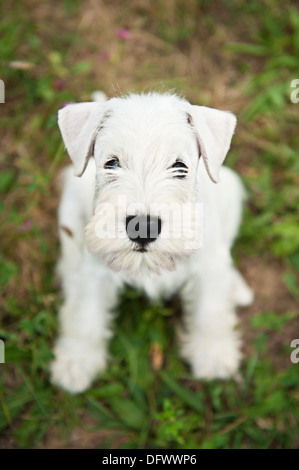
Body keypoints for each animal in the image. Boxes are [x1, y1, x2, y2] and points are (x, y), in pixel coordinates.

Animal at [51, 92, 253, 392]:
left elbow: (210, 310)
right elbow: (86, 315)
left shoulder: (208, 268)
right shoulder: (94, 274)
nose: (142, 227)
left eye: (180, 166)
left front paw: (214, 356)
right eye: (112, 163)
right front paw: (76, 362)